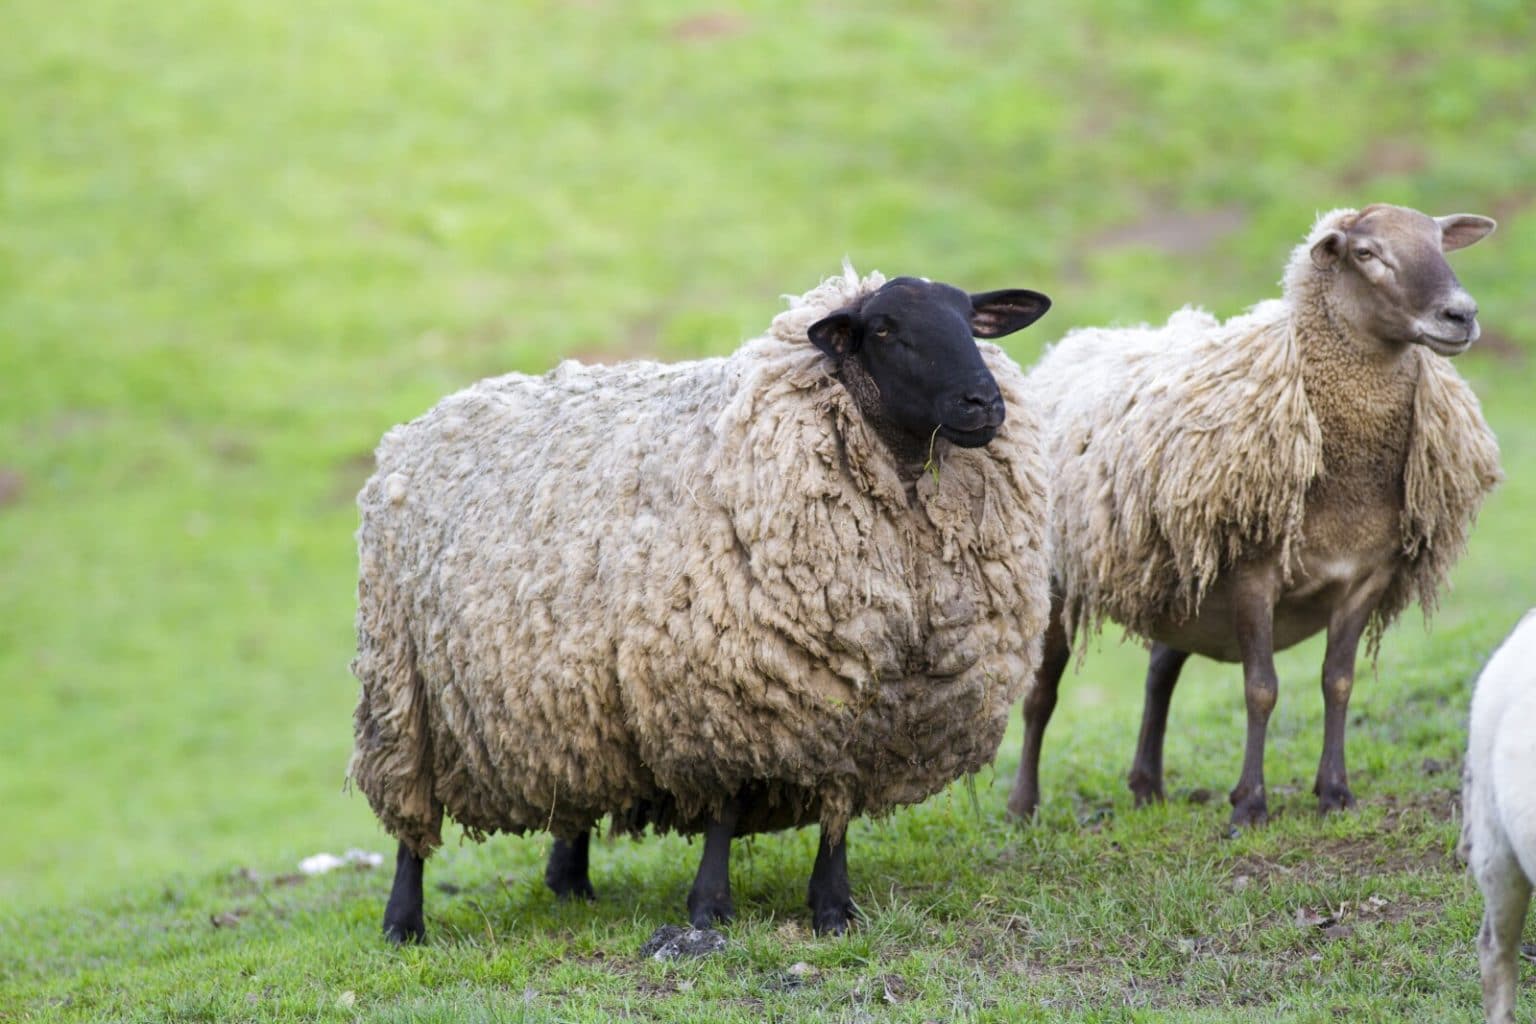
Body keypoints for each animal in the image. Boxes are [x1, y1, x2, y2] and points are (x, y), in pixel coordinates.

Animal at [349, 267, 1054, 943]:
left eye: (971, 320)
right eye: (884, 330)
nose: (983, 402)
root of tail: (417, 427)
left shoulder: (863, 703)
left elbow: (837, 809)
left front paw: (833, 909)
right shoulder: (717, 687)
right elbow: (724, 807)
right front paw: (710, 908)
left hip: (569, 697)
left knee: (572, 781)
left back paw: (569, 882)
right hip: (404, 692)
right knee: (410, 818)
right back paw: (403, 923)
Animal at [1007, 204, 1501, 827]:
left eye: (1441, 242)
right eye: (1367, 254)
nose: (1462, 315)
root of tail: (1072, 346)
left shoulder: (1366, 574)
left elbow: (1338, 682)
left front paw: (1335, 794)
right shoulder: (1252, 571)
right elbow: (1261, 688)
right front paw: (1249, 805)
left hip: (1184, 578)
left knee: (1160, 671)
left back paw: (1147, 786)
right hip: (1058, 574)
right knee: (1041, 692)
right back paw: (1023, 805)